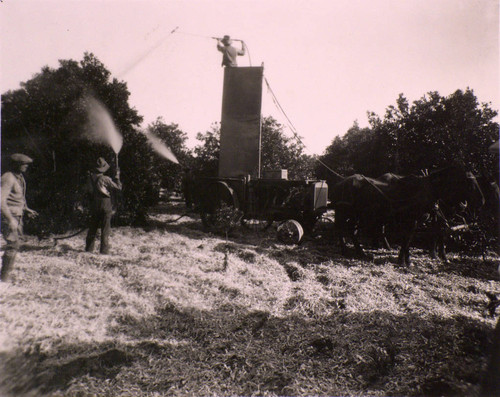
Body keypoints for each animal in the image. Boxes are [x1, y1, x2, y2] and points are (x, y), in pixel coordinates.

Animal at [328, 166, 484, 264]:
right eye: (468, 181)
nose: (482, 201)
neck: (425, 189)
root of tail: (340, 182)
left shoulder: (415, 220)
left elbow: (409, 239)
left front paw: (406, 260)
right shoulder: (411, 219)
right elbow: (408, 238)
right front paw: (403, 261)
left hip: (355, 214)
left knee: (350, 230)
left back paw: (360, 251)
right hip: (344, 212)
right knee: (341, 229)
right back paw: (346, 249)